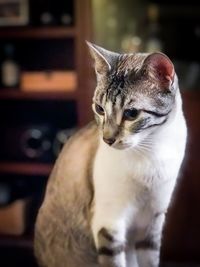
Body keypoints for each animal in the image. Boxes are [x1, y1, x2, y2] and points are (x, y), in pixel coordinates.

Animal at [34, 42, 188, 267]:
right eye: (99, 109)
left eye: (131, 114)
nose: (107, 139)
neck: (150, 149)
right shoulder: (109, 225)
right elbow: (114, 261)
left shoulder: (152, 221)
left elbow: (151, 261)